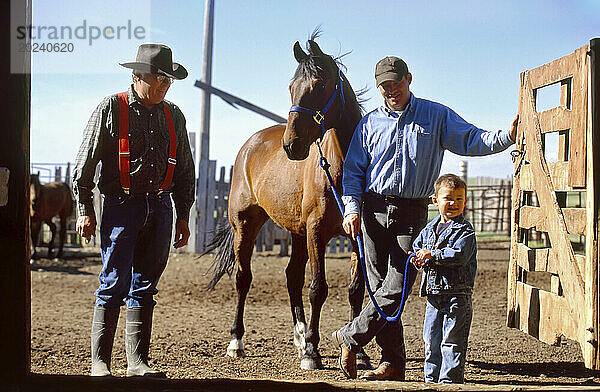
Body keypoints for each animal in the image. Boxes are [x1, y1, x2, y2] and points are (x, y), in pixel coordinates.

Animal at [204, 36, 368, 370]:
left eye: (319, 85)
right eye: (292, 87)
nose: (292, 145)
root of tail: (249, 145)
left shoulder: (354, 232)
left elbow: (355, 290)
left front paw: (359, 354)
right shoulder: (317, 231)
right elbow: (318, 288)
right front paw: (314, 353)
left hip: (296, 231)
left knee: (292, 276)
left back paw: (300, 338)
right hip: (245, 225)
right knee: (243, 277)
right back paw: (237, 342)